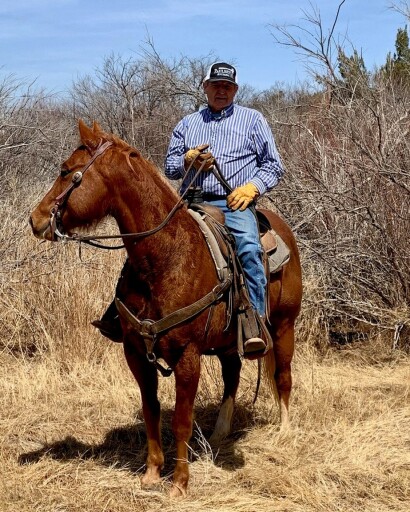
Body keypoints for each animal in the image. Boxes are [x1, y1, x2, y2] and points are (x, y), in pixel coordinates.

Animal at [29, 119, 302, 496]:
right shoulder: (134, 353)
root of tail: (281, 228)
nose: (36, 219)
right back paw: (220, 432)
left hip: (285, 325)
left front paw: (180, 484)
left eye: (66, 171)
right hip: (228, 341)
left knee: (283, 376)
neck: (164, 256)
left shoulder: (188, 356)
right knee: (232, 376)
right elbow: (152, 411)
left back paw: (285, 430)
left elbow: (182, 419)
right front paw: (152, 473)